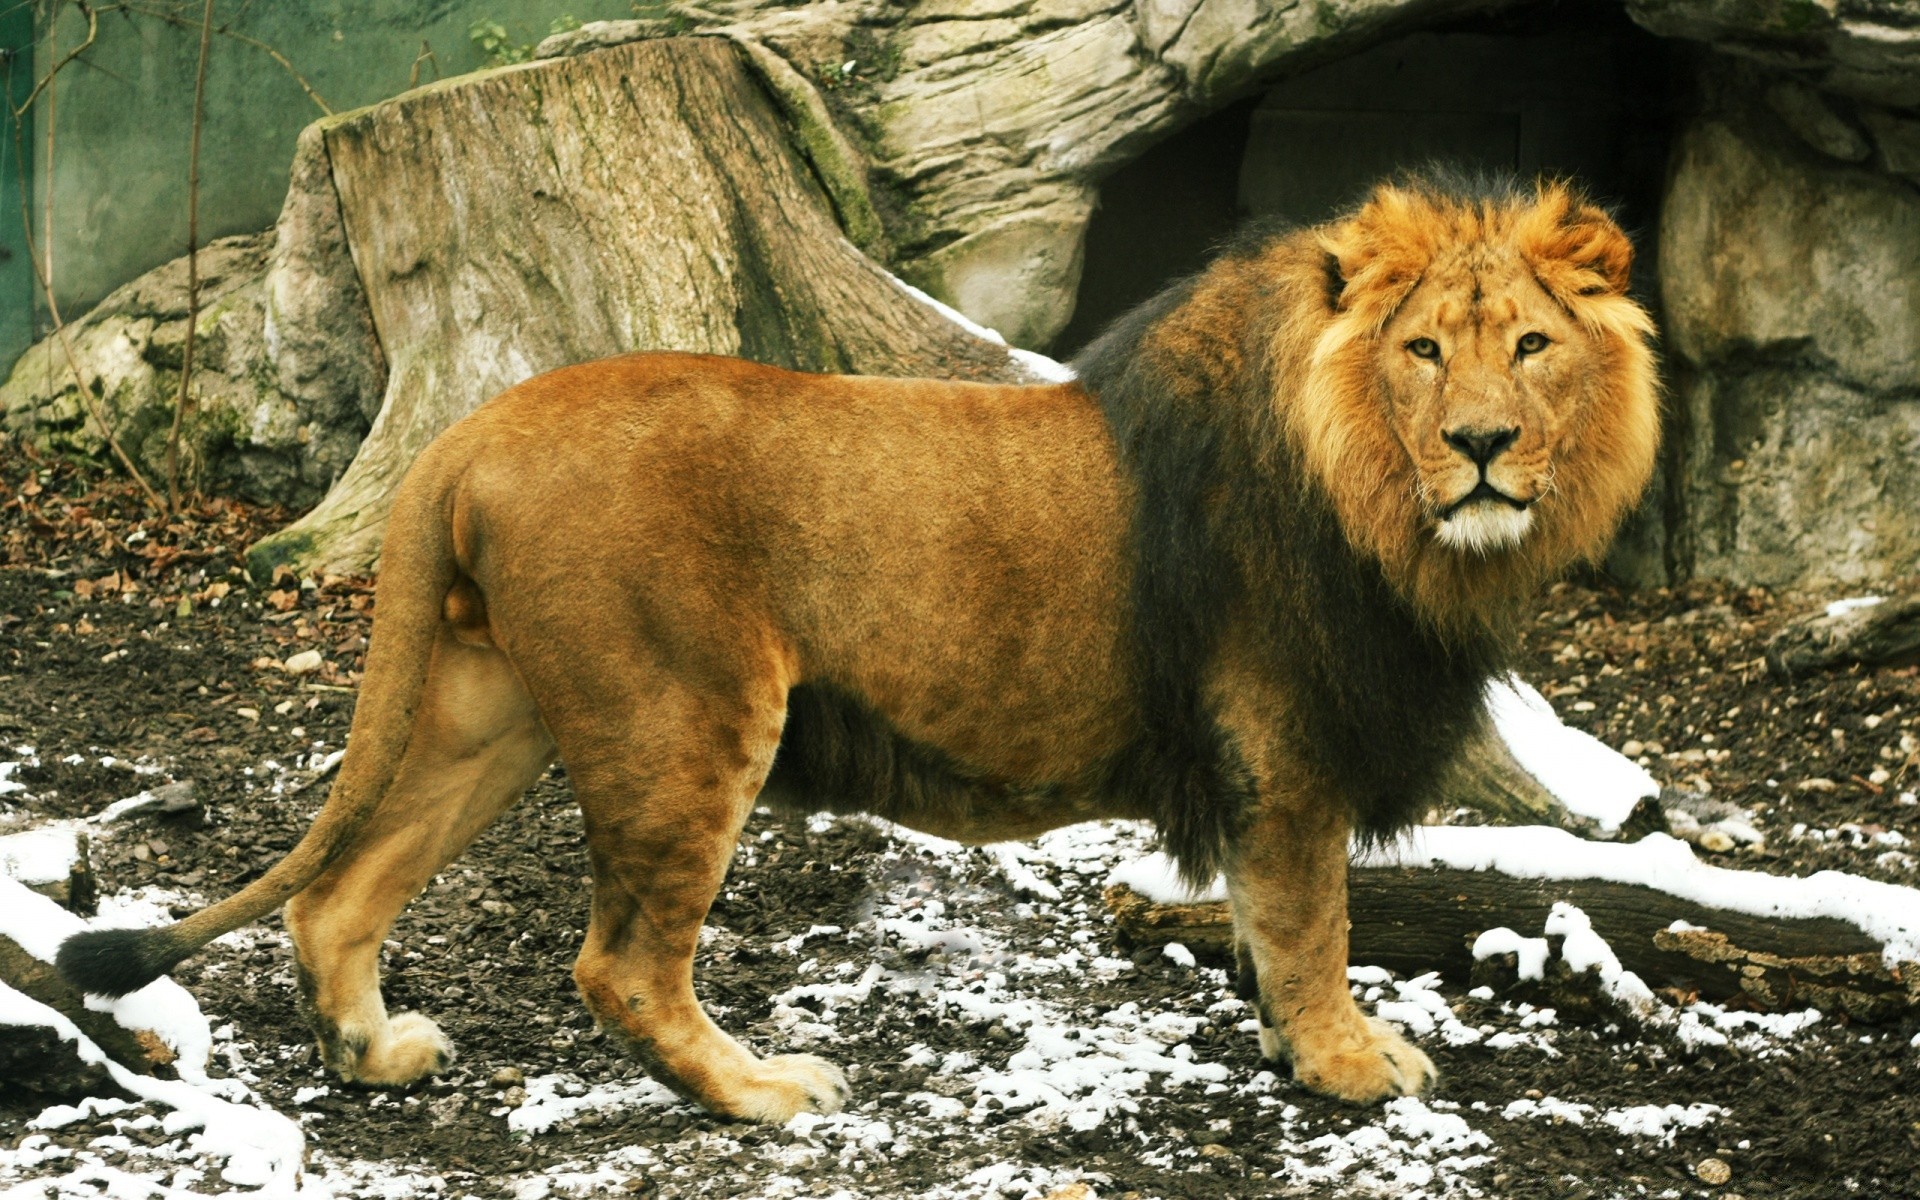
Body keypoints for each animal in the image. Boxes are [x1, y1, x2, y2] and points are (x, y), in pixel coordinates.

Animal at [52, 177, 1658, 1121]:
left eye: (1530, 347)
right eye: (1423, 351)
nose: (1484, 447)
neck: (1384, 505)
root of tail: (474, 426)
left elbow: (1271, 926)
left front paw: (1289, 1045)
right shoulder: (1283, 736)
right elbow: (1312, 919)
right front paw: (1347, 1067)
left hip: (490, 707)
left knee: (342, 894)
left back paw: (373, 1053)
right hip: (684, 716)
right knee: (620, 964)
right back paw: (760, 1092)